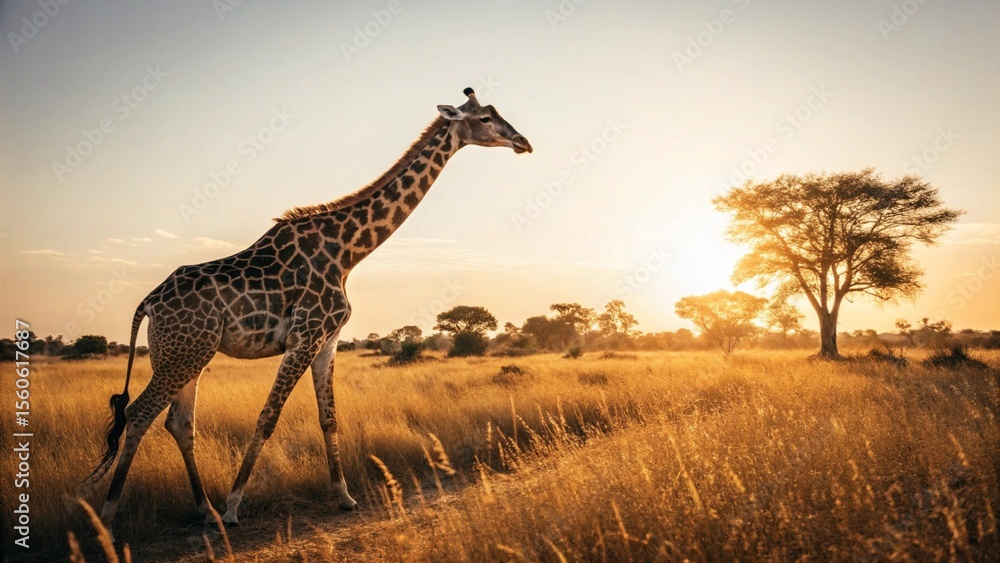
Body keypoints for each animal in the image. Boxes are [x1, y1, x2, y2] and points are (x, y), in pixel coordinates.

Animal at [86, 87, 532, 538]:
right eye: (485, 118)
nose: (523, 142)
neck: (347, 252)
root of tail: (148, 303)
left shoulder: (327, 341)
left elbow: (329, 417)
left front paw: (345, 498)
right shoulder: (305, 336)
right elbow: (268, 416)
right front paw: (234, 506)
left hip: (187, 355)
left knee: (178, 423)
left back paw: (205, 512)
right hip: (182, 354)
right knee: (139, 414)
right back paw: (110, 517)